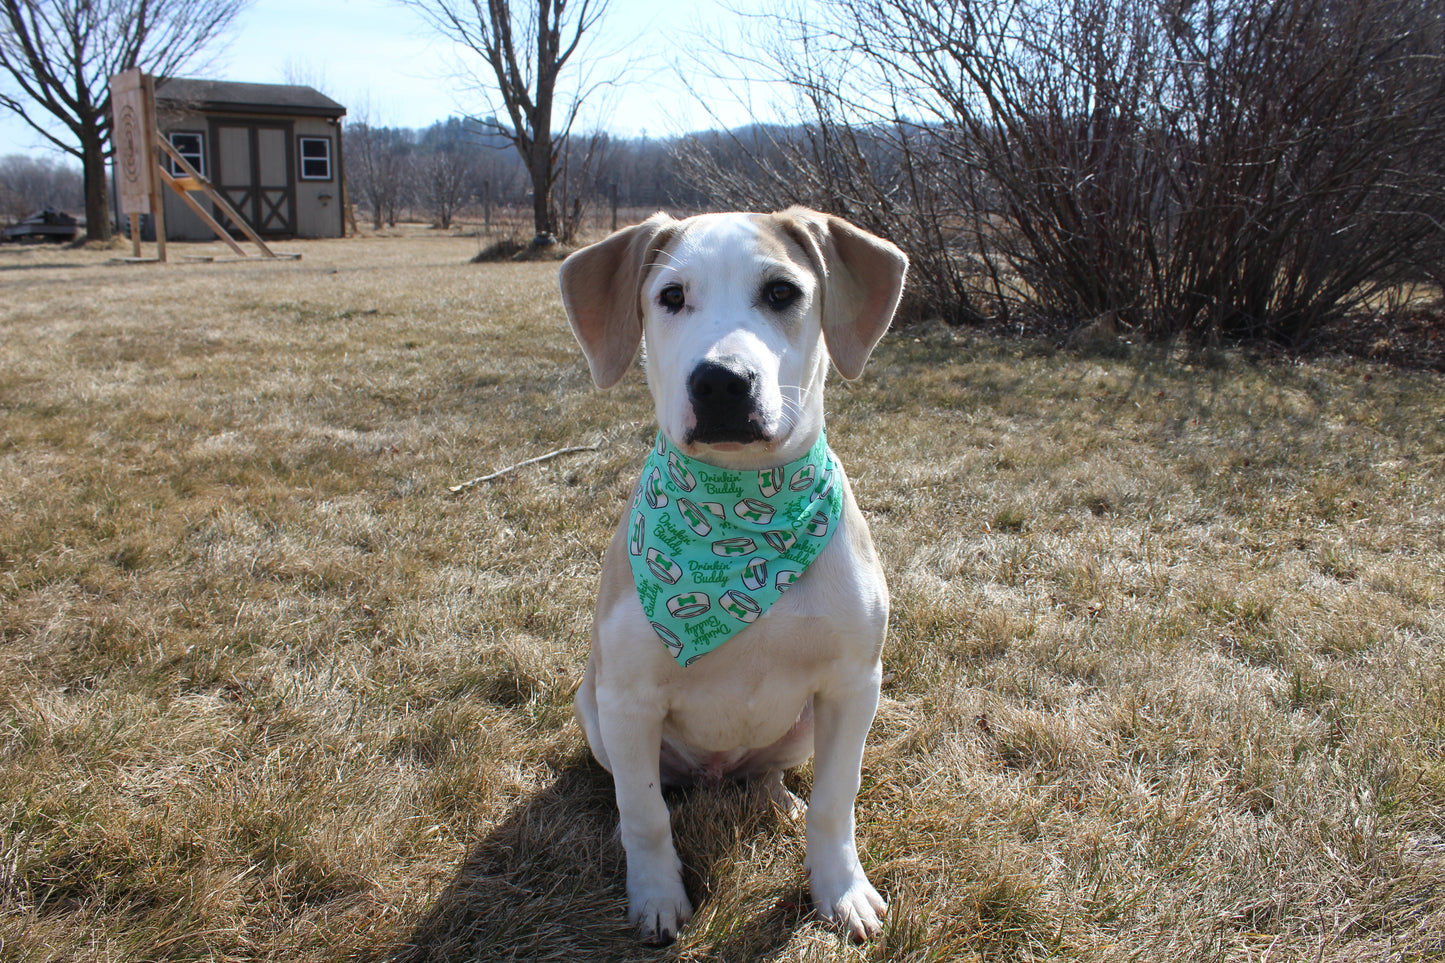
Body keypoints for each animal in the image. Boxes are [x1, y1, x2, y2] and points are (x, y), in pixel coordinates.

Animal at [560, 203, 907, 936]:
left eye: (781, 292)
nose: (720, 381)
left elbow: (837, 799)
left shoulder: (853, 684)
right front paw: (656, 898)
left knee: (767, 773)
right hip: (595, 710)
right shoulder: (628, 698)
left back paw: (776, 799)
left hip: (800, 727)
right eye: (670, 296)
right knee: (644, 789)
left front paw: (841, 890)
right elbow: (646, 813)